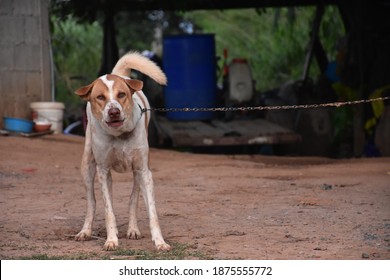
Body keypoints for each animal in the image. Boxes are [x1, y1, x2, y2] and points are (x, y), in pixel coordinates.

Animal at [74, 51, 170, 250]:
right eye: (100, 97)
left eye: (121, 94)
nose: (114, 112)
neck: (120, 135)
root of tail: (117, 73)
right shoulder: (103, 171)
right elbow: (108, 210)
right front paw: (111, 239)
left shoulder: (144, 171)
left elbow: (152, 212)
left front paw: (160, 242)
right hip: (87, 165)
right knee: (93, 202)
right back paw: (86, 230)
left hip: (137, 174)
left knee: (133, 199)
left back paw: (133, 229)